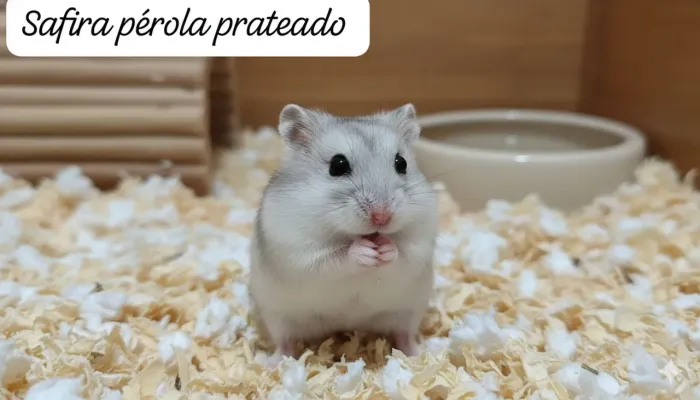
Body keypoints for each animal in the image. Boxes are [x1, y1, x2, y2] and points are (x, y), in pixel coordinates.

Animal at [249, 103, 438, 362]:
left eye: (401, 163)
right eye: (337, 165)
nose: (382, 216)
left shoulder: (420, 243)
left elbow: (403, 253)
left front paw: (385, 248)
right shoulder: (299, 252)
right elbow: (335, 256)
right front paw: (366, 251)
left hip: (408, 312)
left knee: (404, 335)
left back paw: (416, 355)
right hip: (278, 316)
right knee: (284, 341)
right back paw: (274, 363)